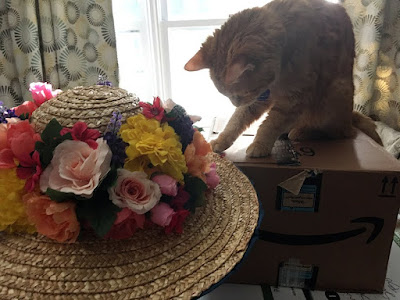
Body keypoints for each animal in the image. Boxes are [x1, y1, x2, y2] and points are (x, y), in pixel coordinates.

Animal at [184, 0, 382, 158]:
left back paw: (302, 132)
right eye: (226, 95)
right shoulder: (259, 99)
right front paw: (222, 139)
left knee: (337, 132)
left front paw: (259, 144)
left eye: (239, 94)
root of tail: (350, 117)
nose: (235, 103)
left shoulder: (293, 99)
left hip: (334, 94)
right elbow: (236, 120)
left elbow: (270, 124)